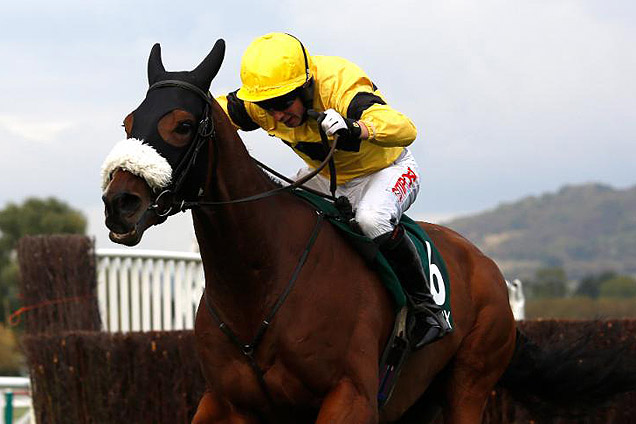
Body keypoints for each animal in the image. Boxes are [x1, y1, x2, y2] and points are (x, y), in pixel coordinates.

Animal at [100, 38, 636, 422]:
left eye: (182, 125)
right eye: (127, 123)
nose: (118, 205)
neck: (260, 279)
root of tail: (486, 265)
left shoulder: (350, 397)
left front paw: (342, 126)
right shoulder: (226, 402)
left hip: (469, 383)